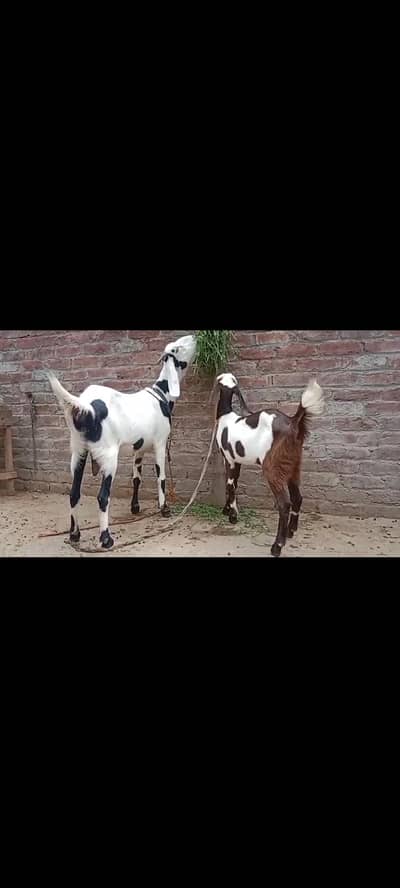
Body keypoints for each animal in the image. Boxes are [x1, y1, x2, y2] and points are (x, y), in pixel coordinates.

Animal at [46, 334, 197, 549]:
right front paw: (164, 508)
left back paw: (75, 535)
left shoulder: (138, 449)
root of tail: (85, 406)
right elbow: (161, 477)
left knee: (74, 493)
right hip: (109, 457)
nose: (195, 337)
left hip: (78, 453)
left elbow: (136, 478)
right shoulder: (160, 443)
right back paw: (106, 538)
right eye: (176, 349)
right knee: (103, 497)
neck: (161, 394)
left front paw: (135, 507)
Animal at [215, 373, 324, 557]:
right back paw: (290, 531)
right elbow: (234, 483)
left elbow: (230, 484)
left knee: (284, 504)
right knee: (297, 497)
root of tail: (293, 422)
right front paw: (227, 510)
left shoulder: (229, 459)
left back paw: (277, 546)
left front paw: (233, 516)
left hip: (272, 467)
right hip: (292, 466)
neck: (226, 417)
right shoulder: (237, 460)